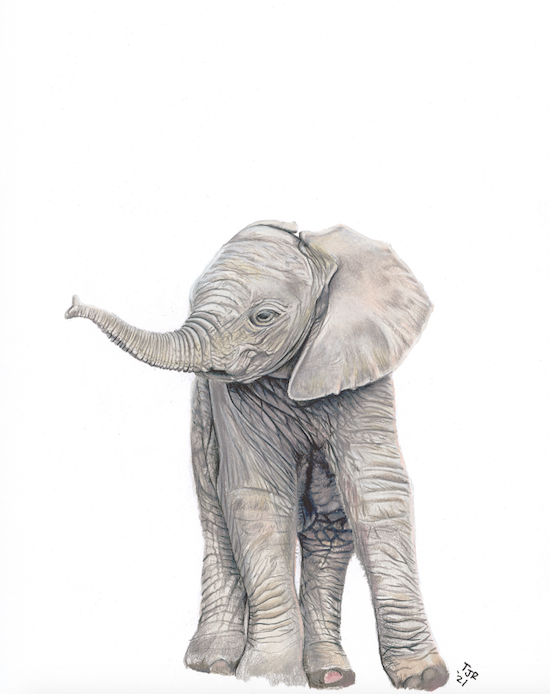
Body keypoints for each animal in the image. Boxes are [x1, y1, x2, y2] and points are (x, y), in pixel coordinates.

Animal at [66, 221, 449, 691]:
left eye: (263, 317)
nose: (71, 306)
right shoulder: (232, 398)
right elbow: (257, 497)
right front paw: (270, 678)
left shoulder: (362, 371)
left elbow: (376, 489)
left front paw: (424, 676)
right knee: (217, 516)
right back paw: (214, 664)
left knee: (329, 528)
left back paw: (331, 674)